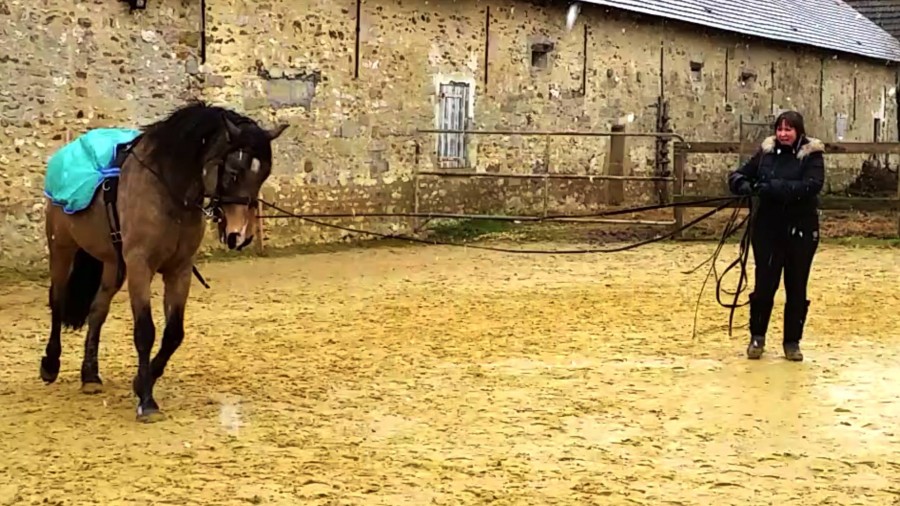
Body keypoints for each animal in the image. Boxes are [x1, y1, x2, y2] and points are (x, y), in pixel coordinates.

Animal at [40, 100, 288, 422]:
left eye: (263, 175)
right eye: (233, 172)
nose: (240, 235)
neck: (169, 189)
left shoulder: (178, 270)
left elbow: (173, 333)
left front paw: (140, 381)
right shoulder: (140, 267)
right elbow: (145, 332)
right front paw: (147, 401)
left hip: (112, 265)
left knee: (97, 311)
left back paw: (90, 376)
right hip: (63, 250)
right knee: (57, 301)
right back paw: (50, 364)